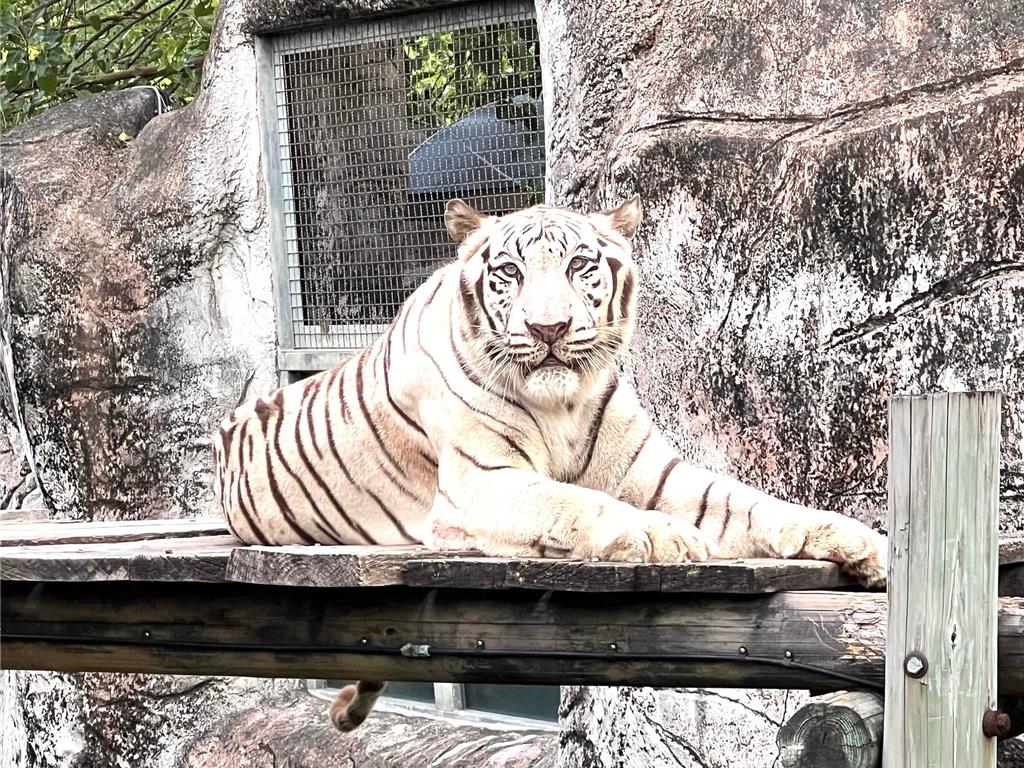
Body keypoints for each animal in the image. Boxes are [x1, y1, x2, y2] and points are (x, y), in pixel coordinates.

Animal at [213, 196, 887, 732]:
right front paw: (659, 534)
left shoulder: (656, 474)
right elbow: (574, 500)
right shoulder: (483, 482)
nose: (549, 328)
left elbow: (754, 503)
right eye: (509, 272)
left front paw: (866, 544)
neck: (562, 401)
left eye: (578, 266)